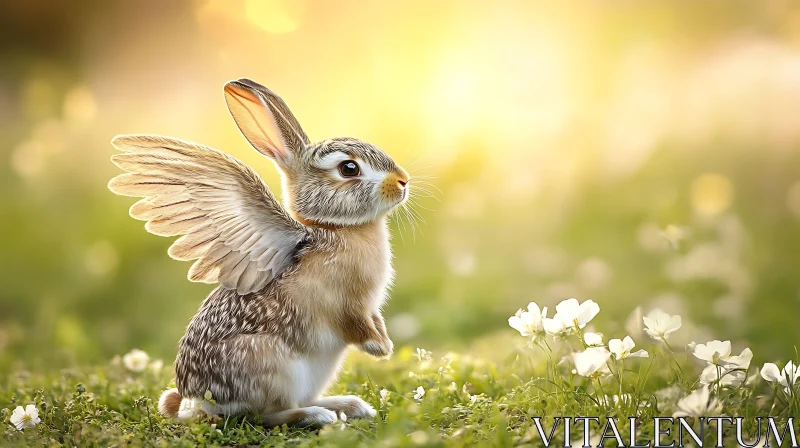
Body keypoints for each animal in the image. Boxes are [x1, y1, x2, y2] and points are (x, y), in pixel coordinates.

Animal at [109, 79, 410, 428]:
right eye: (349, 168)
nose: (403, 181)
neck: (337, 229)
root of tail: (201, 400)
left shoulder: (369, 307)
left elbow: (375, 319)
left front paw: (385, 343)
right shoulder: (345, 303)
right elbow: (354, 323)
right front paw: (379, 348)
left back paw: (349, 405)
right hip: (271, 364)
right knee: (267, 413)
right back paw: (318, 414)